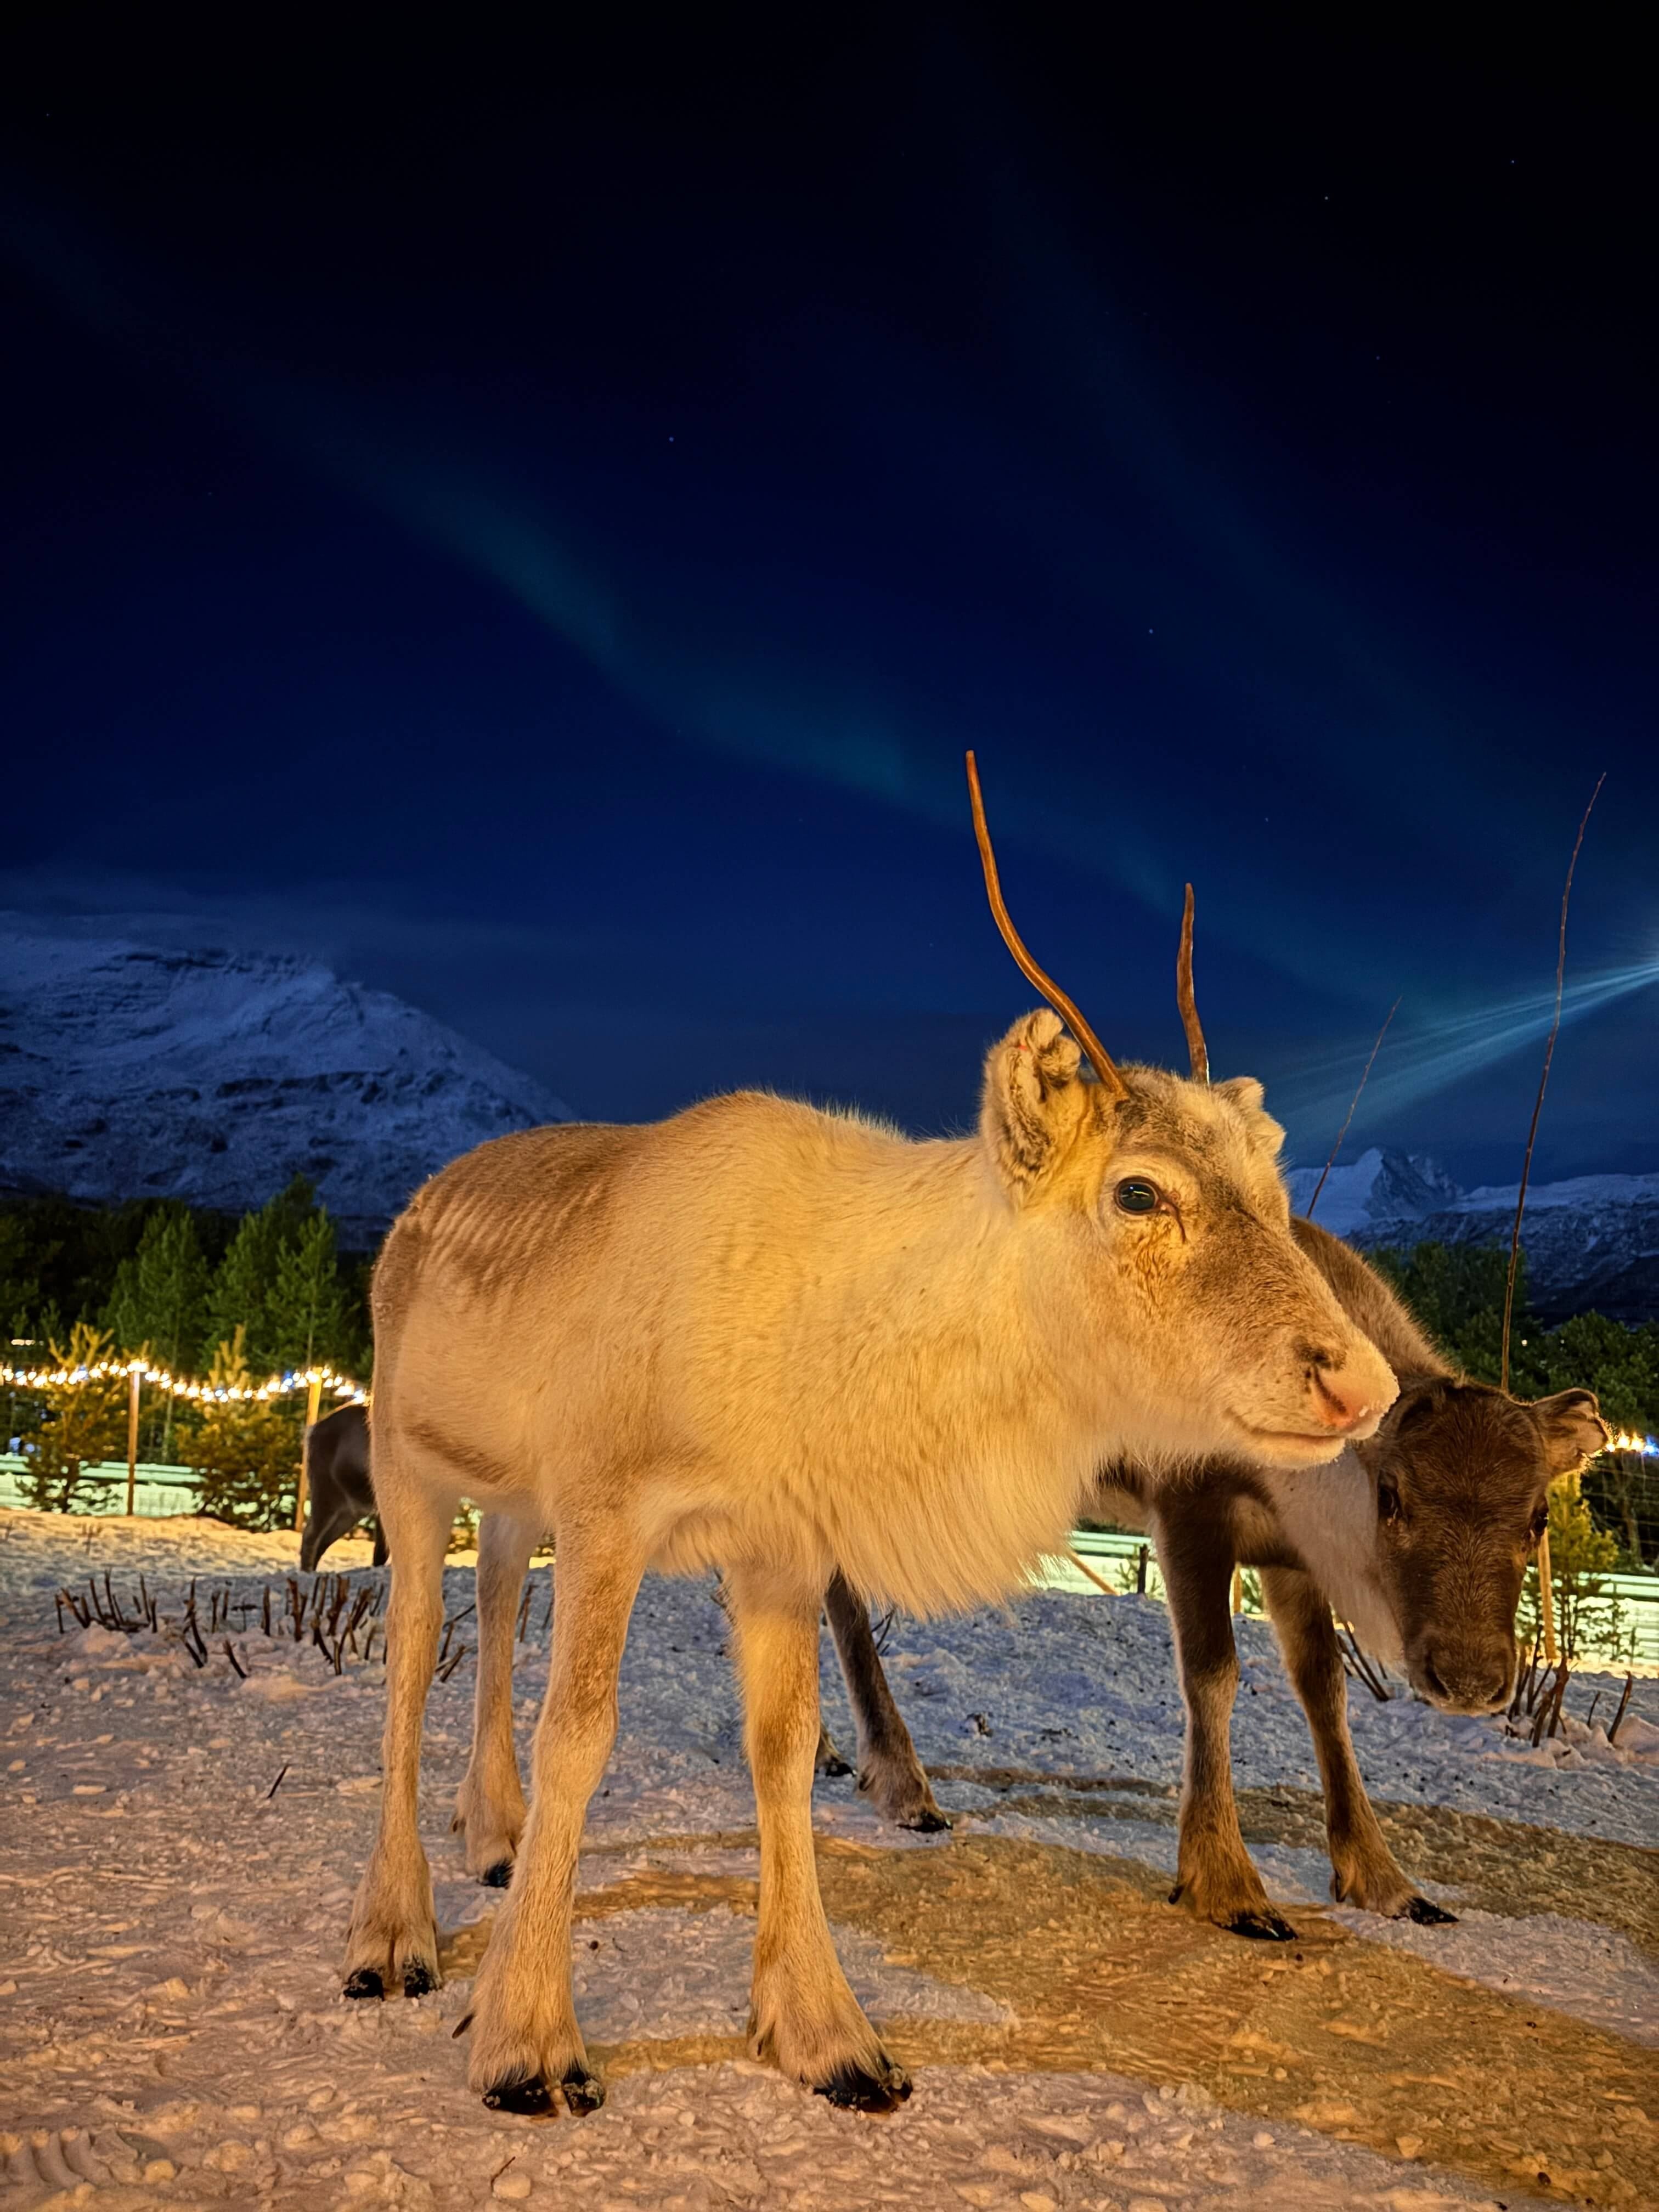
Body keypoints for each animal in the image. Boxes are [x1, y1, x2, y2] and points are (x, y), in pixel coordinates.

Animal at [343, 755, 1398, 2120]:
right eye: (1138, 1190)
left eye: (1274, 1190)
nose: (1360, 1380)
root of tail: (416, 1209)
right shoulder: (610, 1507)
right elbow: (579, 1735)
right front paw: (526, 2036)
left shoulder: (777, 1548)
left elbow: (787, 1752)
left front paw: (824, 2031)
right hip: (409, 1468)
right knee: (413, 1656)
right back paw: (393, 1932)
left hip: (515, 1502)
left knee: (495, 1620)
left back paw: (496, 1834)